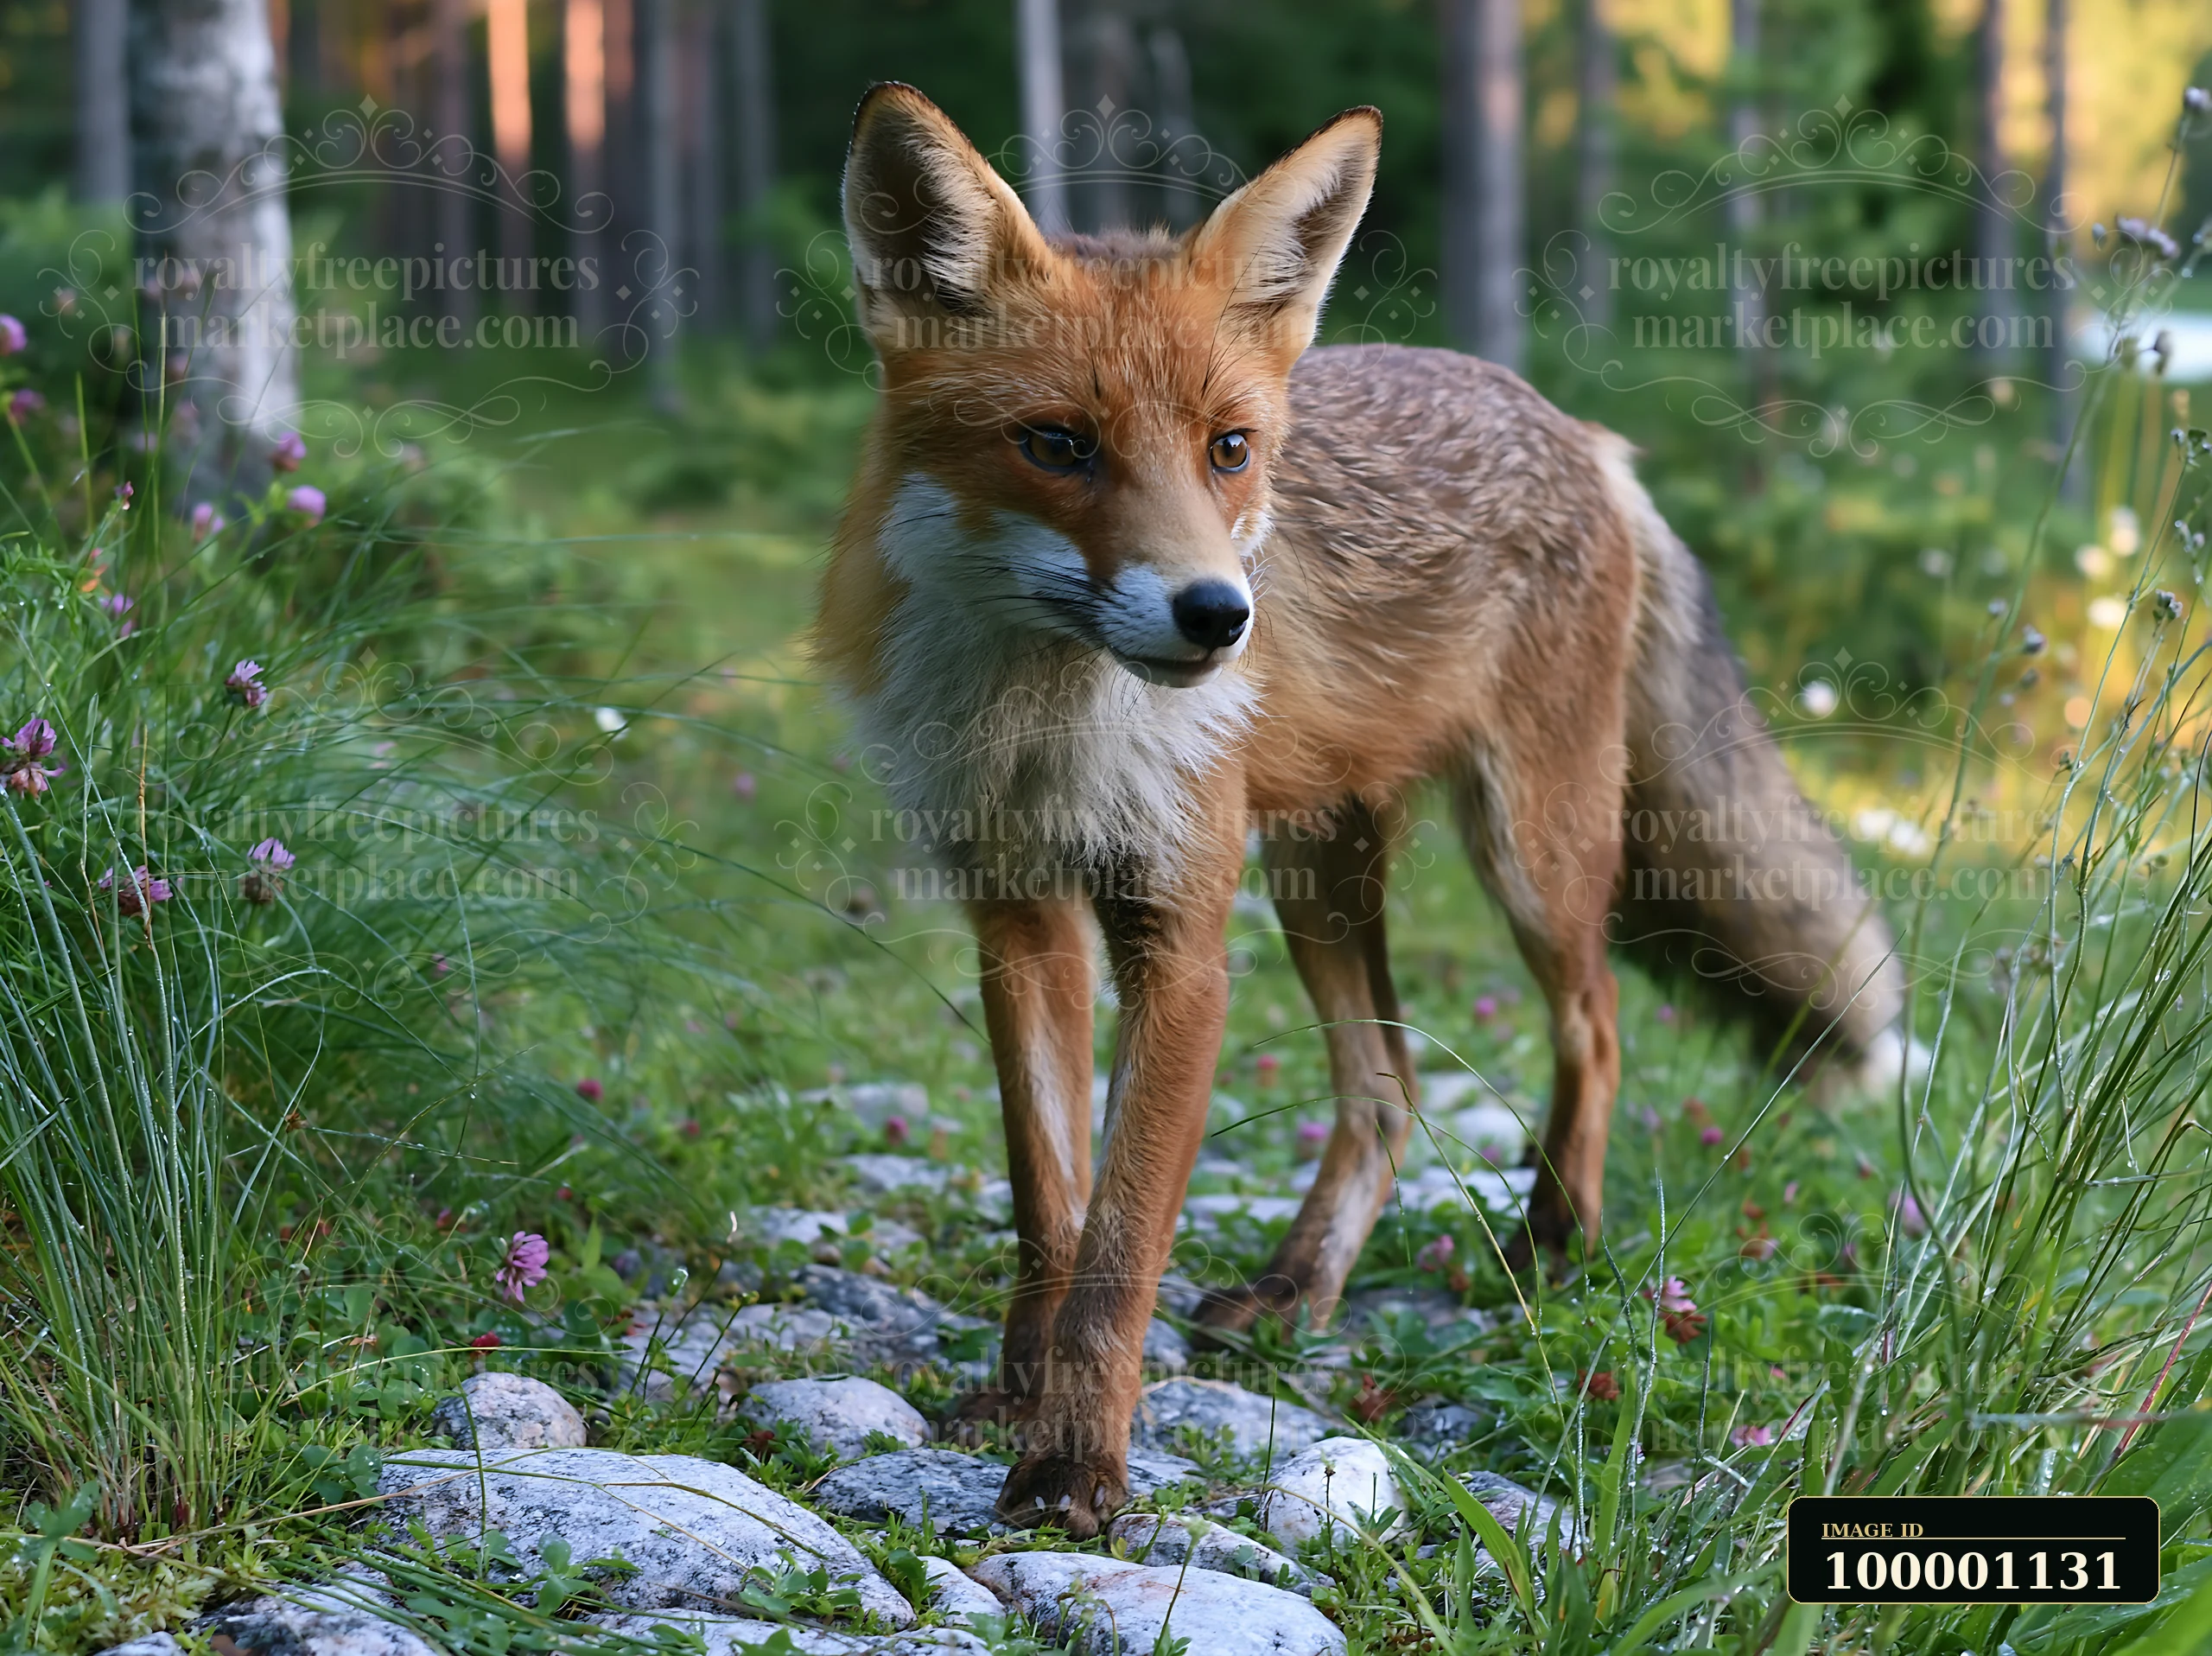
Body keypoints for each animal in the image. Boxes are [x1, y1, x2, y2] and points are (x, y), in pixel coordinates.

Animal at [818, 84, 1907, 1536]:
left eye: (1229, 450)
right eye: (1057, 445)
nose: (1218, 617)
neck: (1044, 722)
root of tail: (1581, 433)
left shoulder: (1182, 940)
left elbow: (1120, 1251)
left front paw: (1077, 1464)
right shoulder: (1019, 917)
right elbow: (1051, 1211)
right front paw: (1020, 1394)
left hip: (1526, 850)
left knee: (1596, 1024)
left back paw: (1554, 1243)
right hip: (1314, 874)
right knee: (1386, 1090)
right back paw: (1301, 1292)